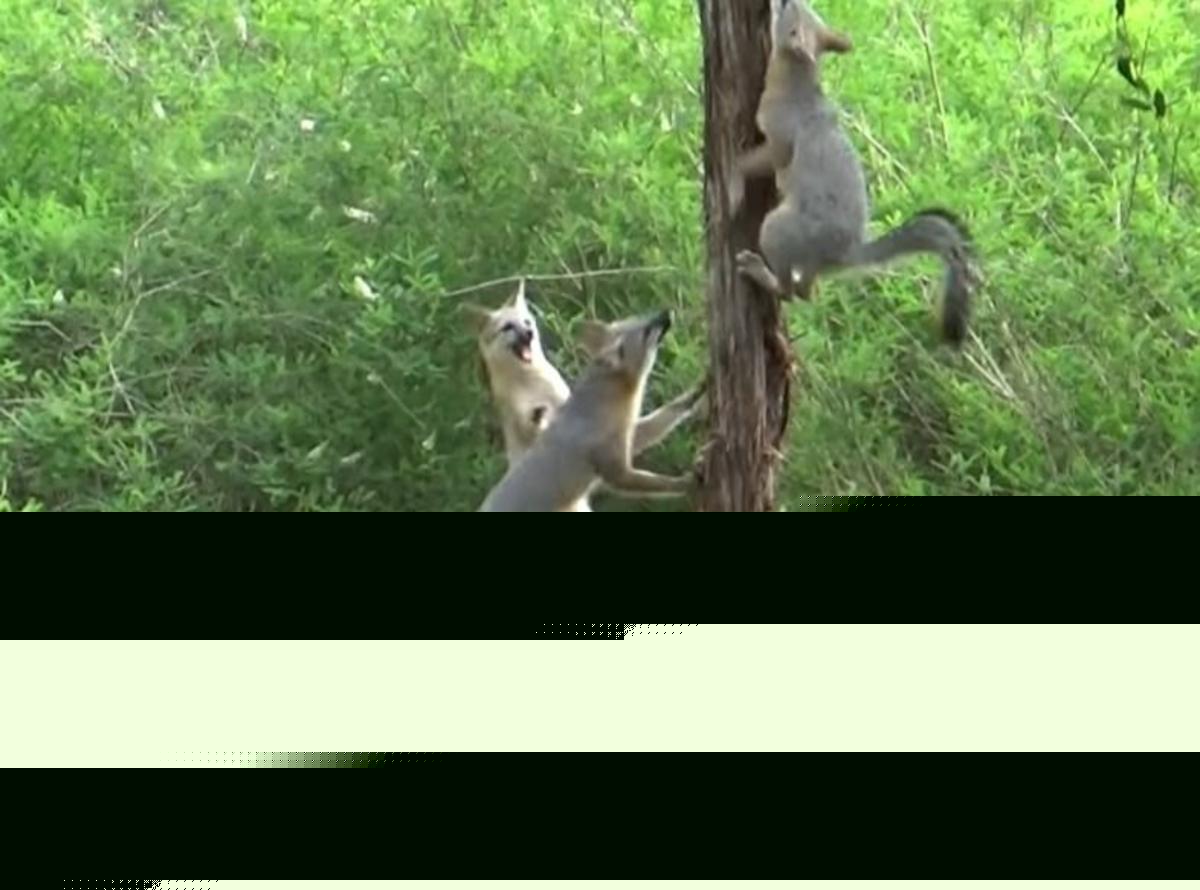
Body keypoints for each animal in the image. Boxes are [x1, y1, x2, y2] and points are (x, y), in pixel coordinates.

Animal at [464, 280, 705, 511]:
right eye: (646, 331)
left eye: (642, 316)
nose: (666, 311)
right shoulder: (615, 471)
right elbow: (660, 483)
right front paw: (688, 482)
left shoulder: (628, 436)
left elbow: (668, 412)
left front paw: (700, 389)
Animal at [732, 0, 981, 345]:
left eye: (787, 10)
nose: (776, 2)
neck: (797, 80)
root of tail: (844, 255)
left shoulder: (780, 139)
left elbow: (757, 161)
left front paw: (732, 181)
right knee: (807, 292)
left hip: (778, 231)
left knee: (791, 292)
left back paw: (759, 272)